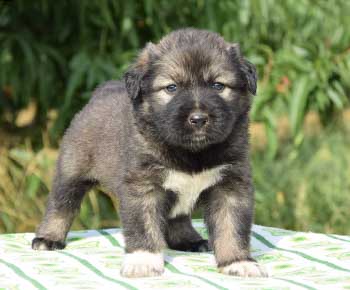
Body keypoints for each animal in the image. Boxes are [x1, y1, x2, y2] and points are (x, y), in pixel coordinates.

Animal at [33, 28, 268, 278]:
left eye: (218, 86)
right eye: (171, 88)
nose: (198, 119)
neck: (192, 153)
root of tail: (102, 90)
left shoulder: (231, 185)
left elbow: (232, 227)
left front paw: (238, 262)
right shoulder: (143, 185)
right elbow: (143, 226)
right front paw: (143, 260)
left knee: (178, 217)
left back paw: (188, 240)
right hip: (71, 171)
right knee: (61, 205)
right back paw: (48, 237)